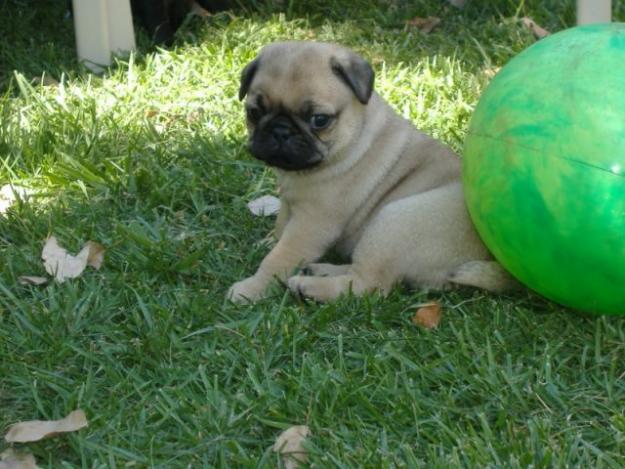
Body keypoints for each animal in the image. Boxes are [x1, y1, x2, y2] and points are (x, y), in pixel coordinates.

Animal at [227, 42, 516, 302]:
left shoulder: (311, 224)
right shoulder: (289, 202)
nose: (280, 131)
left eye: (320, 120)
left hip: (393, 221)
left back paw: (308, 287)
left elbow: (279, 258)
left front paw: (251, 289)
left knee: (368, 284)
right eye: (254, 112)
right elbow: (280, 226)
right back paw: (320, 270)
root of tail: (489, 260)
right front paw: (268, 242)